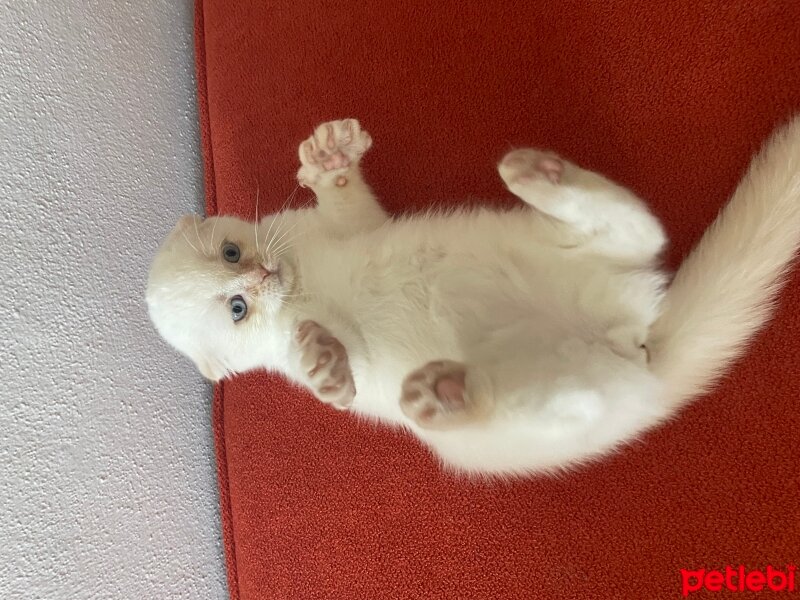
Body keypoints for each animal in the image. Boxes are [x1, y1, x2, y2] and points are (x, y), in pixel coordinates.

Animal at [145, 116, 800, 474]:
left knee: (638, 230)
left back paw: (538, 175)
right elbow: (348, 360)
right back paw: (445, 392)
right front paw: (323, 362)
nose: (260, 276)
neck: (304, 278)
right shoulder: (346, 358)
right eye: (237, 310)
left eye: (231, 253)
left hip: (556, 245)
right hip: (492, 433)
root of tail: (635, 344)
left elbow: (349, 203)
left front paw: (328, 154)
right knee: (560, 402)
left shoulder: (346, 225)